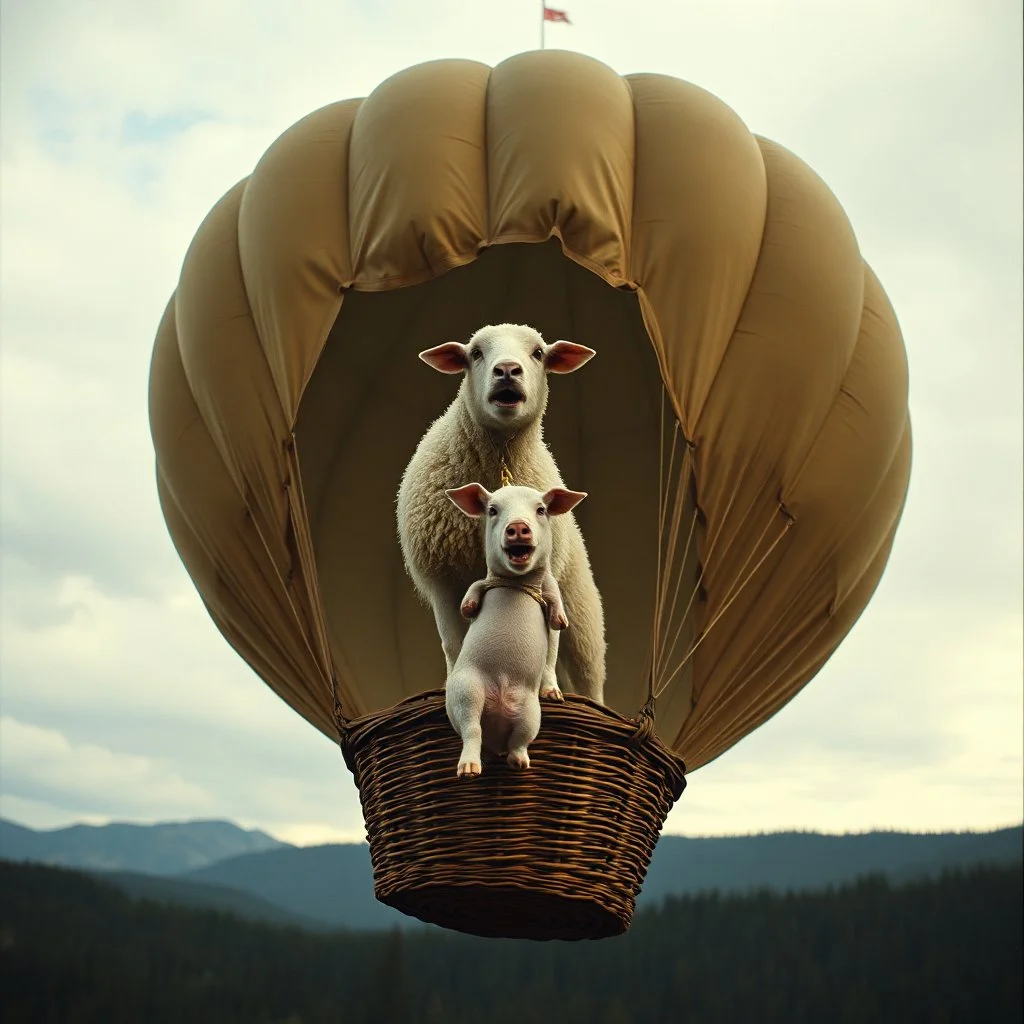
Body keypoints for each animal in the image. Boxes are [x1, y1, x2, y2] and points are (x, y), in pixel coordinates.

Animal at [393, 321, 602, 704]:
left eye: (538, 353)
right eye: (475, 352)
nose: (506, 370)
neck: (502, 458)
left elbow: (549, 645)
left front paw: (547, 690)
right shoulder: (443, 580)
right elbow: (453, 644)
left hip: (583, 621)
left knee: (587, 677)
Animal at [444, 479, 589, 774]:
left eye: (541, 509)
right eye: (492, 510)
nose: (518, 526)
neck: (517, 582)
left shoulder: (550, 589)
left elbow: (554, 613)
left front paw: (561, 620)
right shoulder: (485, 582)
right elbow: (476, 584)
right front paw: (467, 608)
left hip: (531, 712)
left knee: (518, 740)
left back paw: (520, 762)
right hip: (466, 690)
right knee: (471, 730)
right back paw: (469, 769)